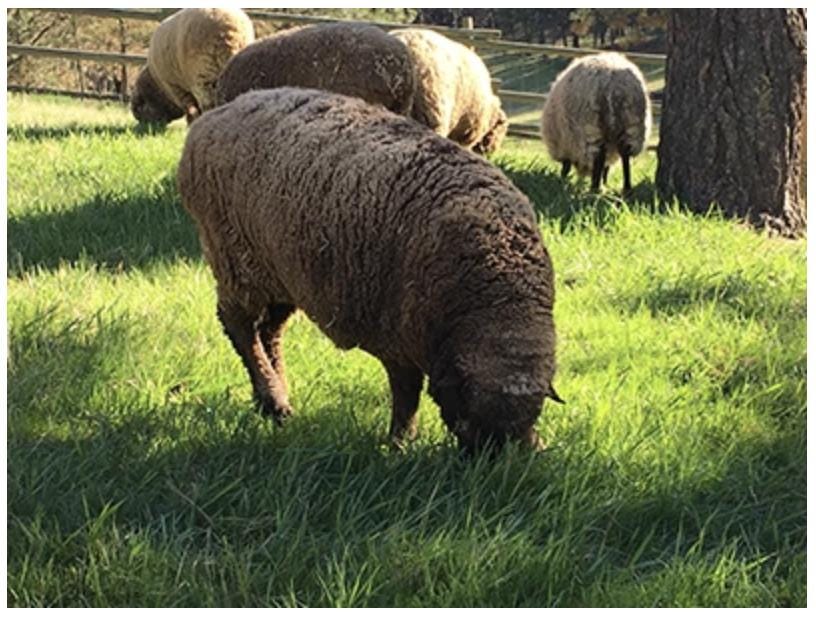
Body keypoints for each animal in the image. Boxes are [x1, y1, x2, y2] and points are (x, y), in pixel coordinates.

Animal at [177, 88, 561, 455]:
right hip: (235, 257)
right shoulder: (397, 333)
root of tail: (214, 115)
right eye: (469, 413)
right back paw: (274, 399)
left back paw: (273, 400)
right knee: (239, 326)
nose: (484, 464)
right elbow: (406, 392)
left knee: (269, 331)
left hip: (280, 273)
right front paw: (399, 443)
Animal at [541, 52, 652, 192]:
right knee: (625, 153)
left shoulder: (566, 143)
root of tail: (614, 85)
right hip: (632, 125)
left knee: (599, 156)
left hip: (590, 128)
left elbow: (566, 166)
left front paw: (562, 179)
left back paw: (595, 188)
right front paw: (604, 181)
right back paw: (626, 188)